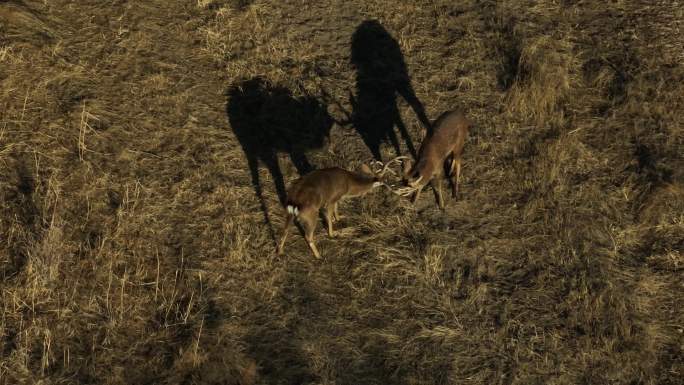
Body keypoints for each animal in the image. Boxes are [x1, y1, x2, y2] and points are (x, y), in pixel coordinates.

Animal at [276, 156, 404, 258]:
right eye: (382, 180)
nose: (389, 185)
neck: (349, 184)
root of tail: (293, 201)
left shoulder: (336, 198)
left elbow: (336, 208)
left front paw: (338, 218)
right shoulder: (332, 199)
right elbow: (329, 216)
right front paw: (333, 233)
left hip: (289, 213)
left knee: (285, 230)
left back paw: (280, 252)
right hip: (311, 214)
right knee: (308, 236)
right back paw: (318, 256)